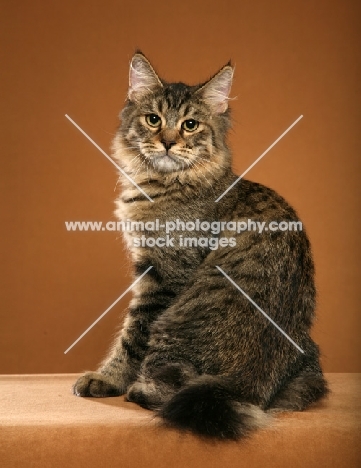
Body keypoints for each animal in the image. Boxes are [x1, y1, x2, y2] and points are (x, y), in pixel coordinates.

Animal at [71, 53, 328, 440]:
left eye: (190, 125)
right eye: (153, 119)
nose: (167, 142)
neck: (166, 183)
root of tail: (245, 385)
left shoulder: (162, 275)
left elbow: (131, 336)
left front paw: (107, 379)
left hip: (174, 326)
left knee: (168, 389)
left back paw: (139, 389)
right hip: (309, 364)